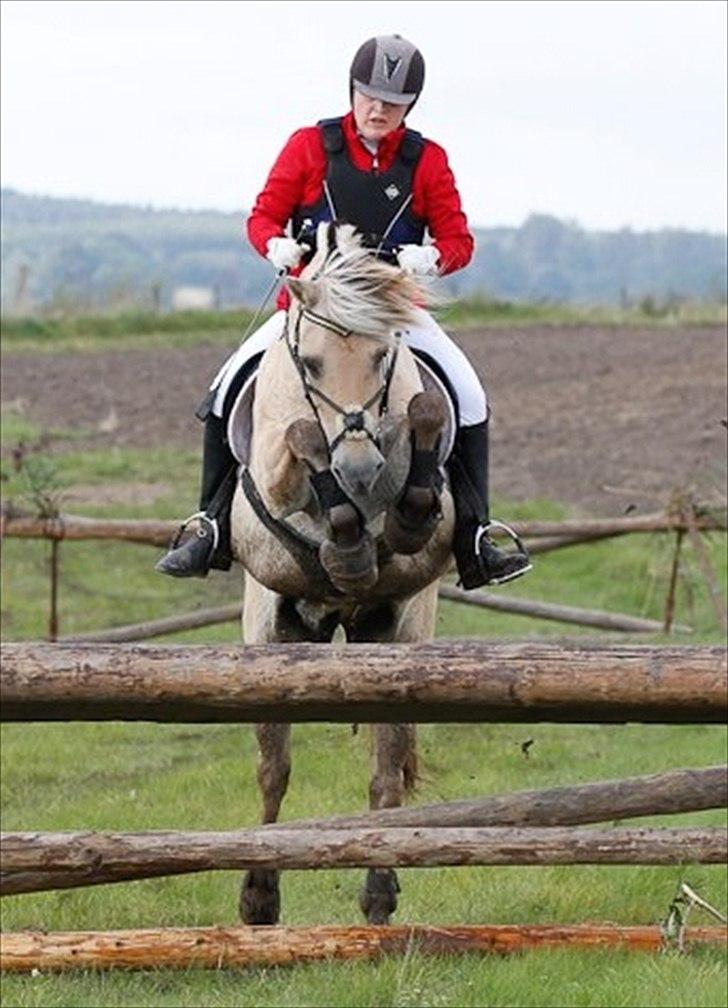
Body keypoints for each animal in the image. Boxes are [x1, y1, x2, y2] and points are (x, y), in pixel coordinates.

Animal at [229, 220, 451, 923]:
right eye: (313, 364)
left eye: (383, 358)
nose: (357, 471)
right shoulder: (275, 479)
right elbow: (299, 436)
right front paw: (344, 527)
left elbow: (425, 420)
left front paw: (386, 517)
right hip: (272, 634)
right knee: (272, 770)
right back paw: (259, 897)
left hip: (399, 638)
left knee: (384, 771)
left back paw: (378, 894)